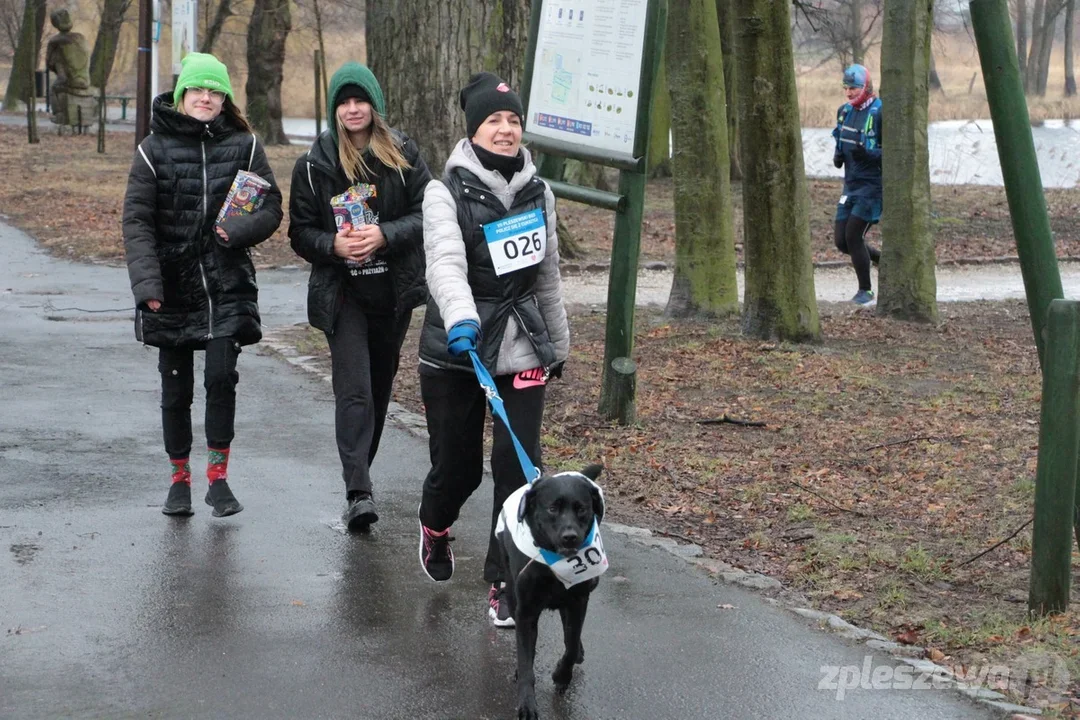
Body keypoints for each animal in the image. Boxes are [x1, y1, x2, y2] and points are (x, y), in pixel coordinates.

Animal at [494, 464, 609, 720]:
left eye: (581, 509)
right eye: (553, 508)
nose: (570, 537)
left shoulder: (578, 601)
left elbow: (571, 643)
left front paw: (561, 675)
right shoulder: (525, 612)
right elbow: (526, 662)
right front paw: (527, 705)